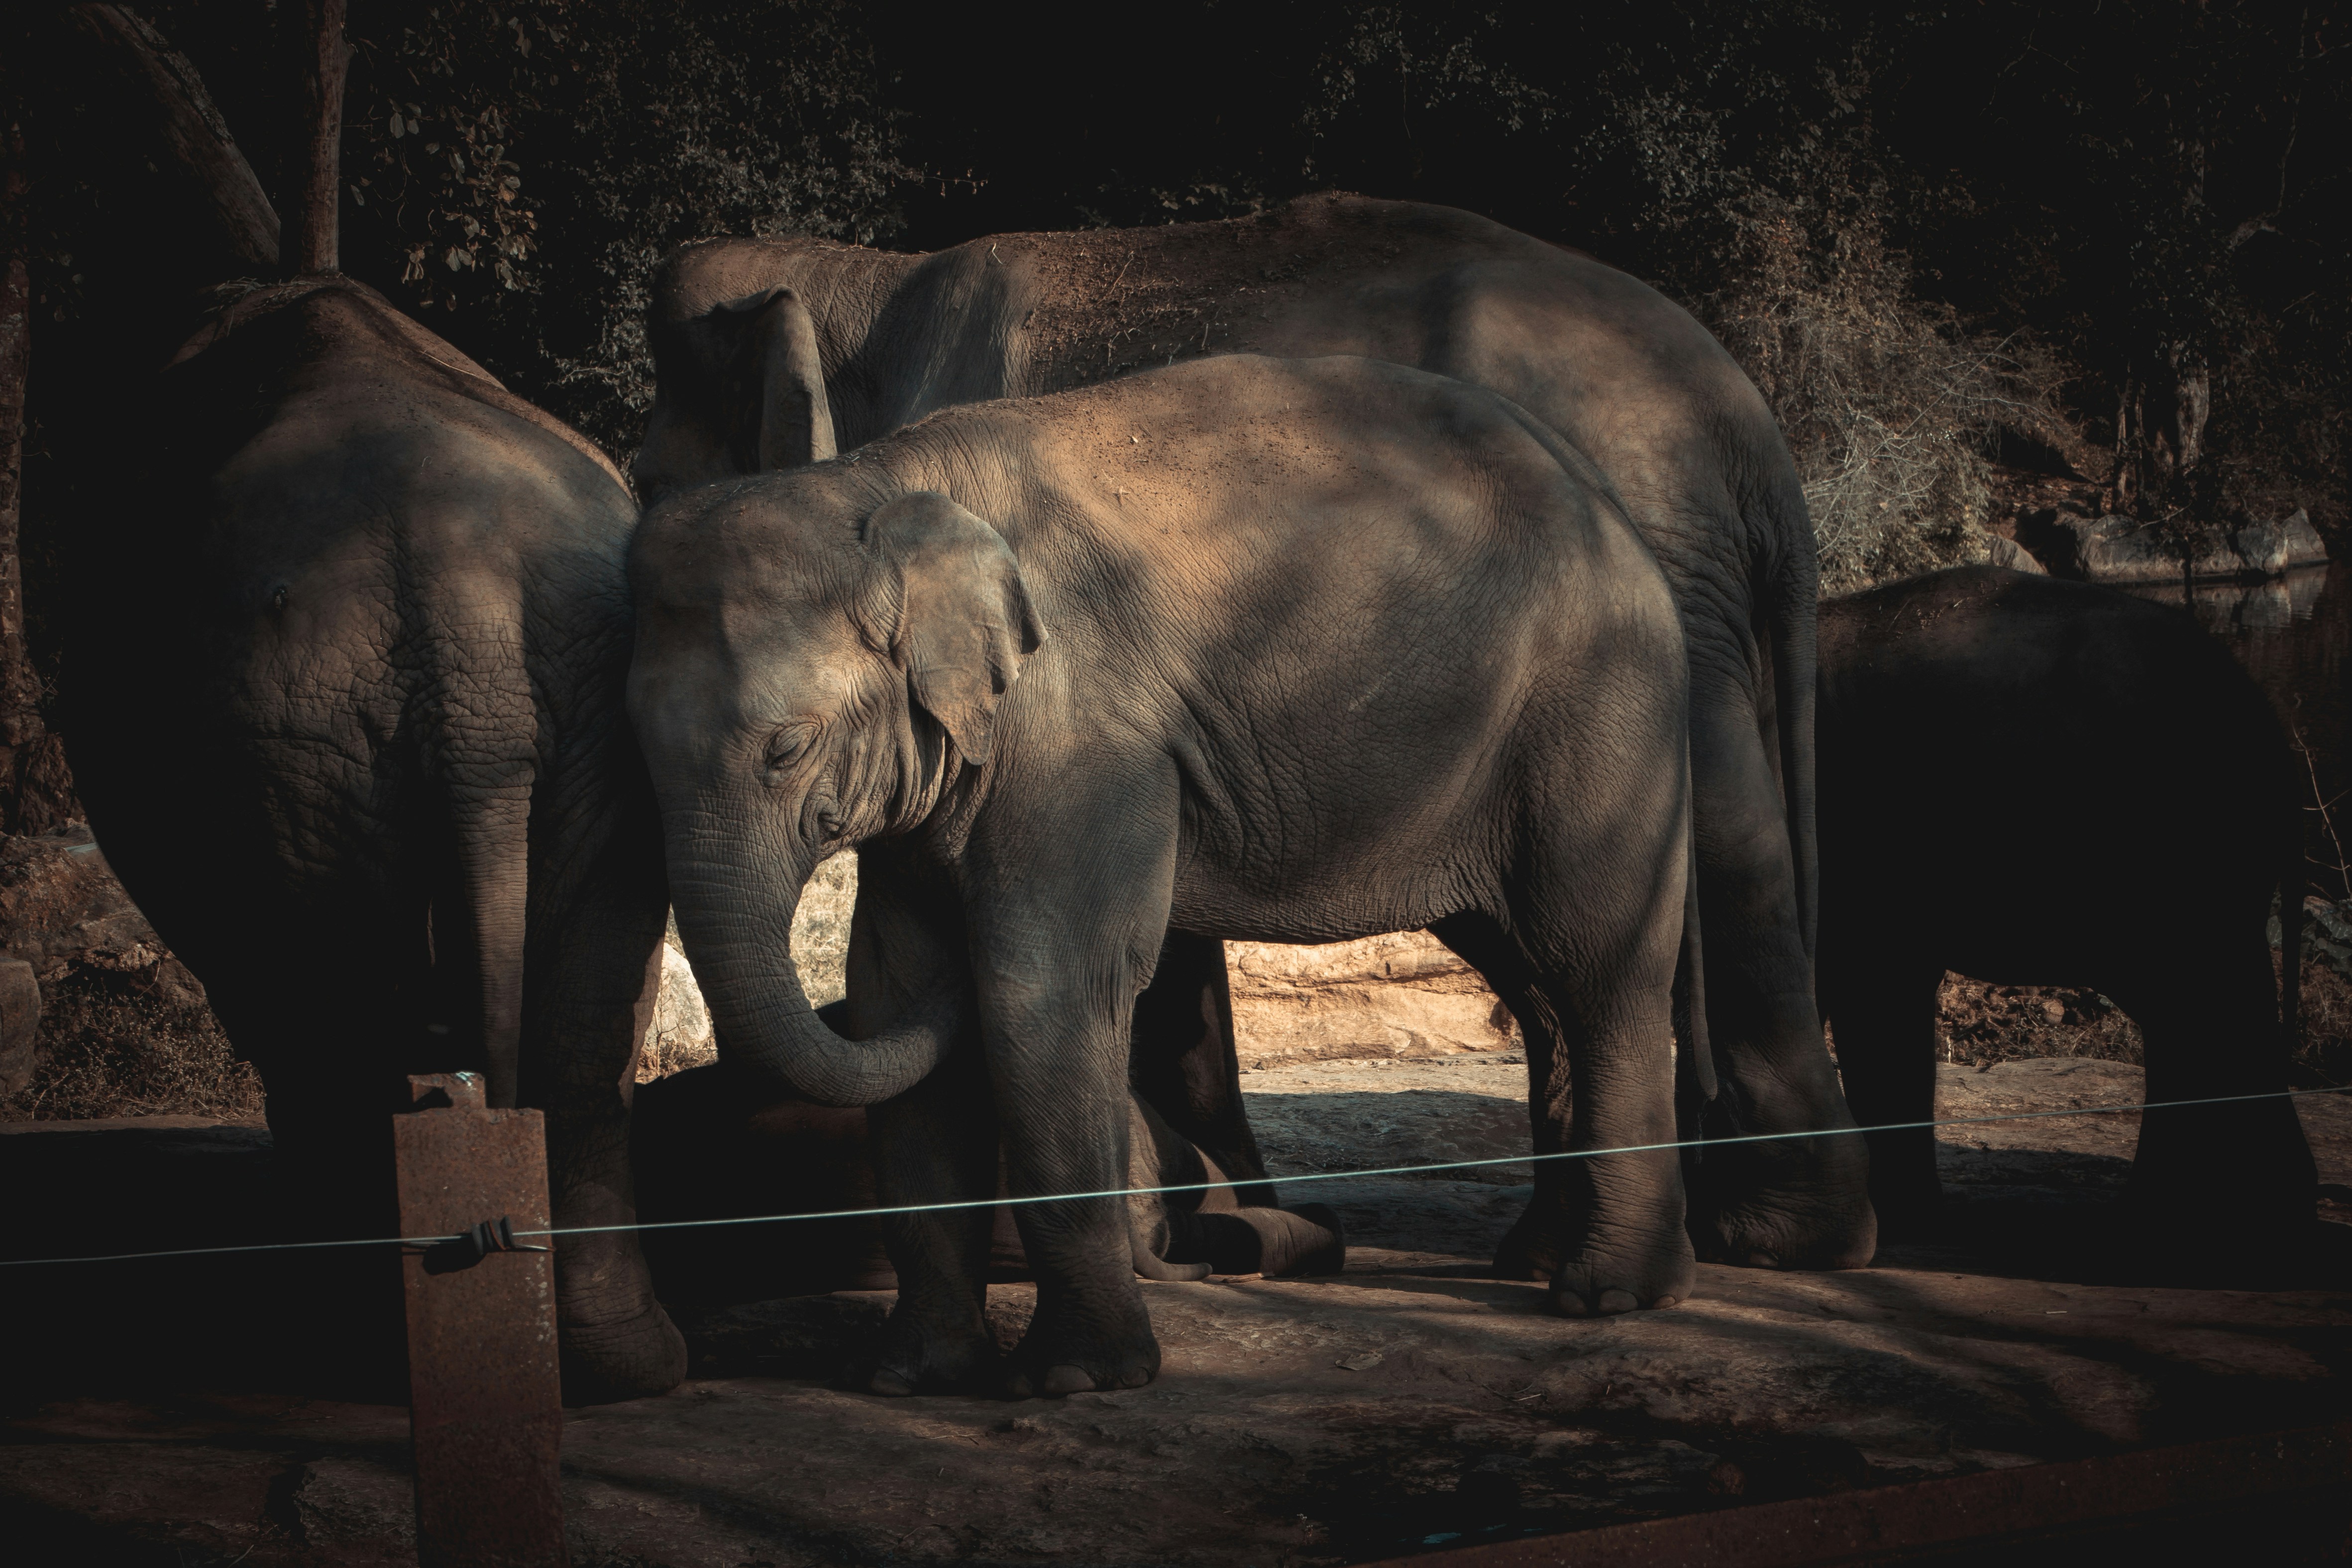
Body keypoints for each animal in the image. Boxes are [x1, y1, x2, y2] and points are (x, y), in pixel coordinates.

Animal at [70, 275, 686, 1400]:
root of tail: (463, 593)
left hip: (292, 731)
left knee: (324, 1003)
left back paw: (348, 1346)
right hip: (550, 709)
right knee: (579, 1023)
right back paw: (618, 1368)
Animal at [628, 353, 1698, 1395]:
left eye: (785, 748)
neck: (876, 485)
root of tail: (1604, 502)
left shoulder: (1084, 736)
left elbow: (1042, 985)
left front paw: (1075, 1380)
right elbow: (896, 987)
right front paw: (906, 1380)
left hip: (1600, 703)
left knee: (1596, 962)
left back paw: (1606, 1293)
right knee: (1532, 974)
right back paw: (1545, 1261)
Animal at [630, 190, 1871, 1276]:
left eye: (652, 473)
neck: (853, 273)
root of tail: (1754, 443)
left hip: (1641, 620)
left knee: (1685, 867)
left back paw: (1759, 1242)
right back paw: (1596, 1247)